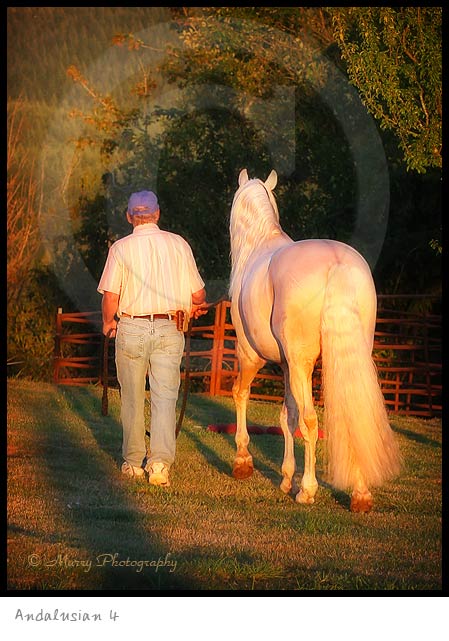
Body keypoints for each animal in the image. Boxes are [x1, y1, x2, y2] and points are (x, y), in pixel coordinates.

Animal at [229, 168, 401, 512]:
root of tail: (338, 265)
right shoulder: (285, 366)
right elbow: (287, 416)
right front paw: (285, 478)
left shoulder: (250, 355)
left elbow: (242, 395)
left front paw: (243, 462)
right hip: (344, 360)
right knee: (351, 417)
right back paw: (360, 495)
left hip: (299, 363)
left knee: (310, 421)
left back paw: (307, 491)